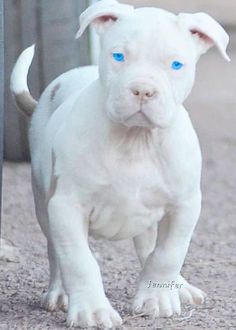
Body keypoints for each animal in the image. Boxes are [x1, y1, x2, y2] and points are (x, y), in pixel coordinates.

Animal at [10, 0, 229, 328]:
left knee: (149, 248)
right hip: (43, 202)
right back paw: (59, 293)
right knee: (55, 251)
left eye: (176, 65)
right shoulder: (66, 206)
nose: (143, 90)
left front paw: (157, 298)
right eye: (118, 56)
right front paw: (92, 310)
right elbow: (78, 260)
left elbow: (167, 253)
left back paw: (180, 286)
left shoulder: (185, 205)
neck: (135, 140)